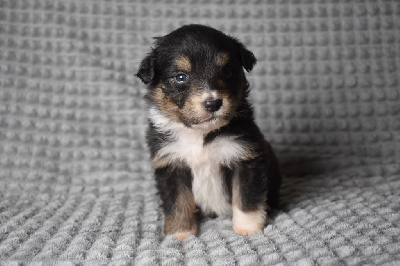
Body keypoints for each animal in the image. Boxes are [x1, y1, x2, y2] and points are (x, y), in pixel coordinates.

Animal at [138, 25, 282, 241]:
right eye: (181, 77)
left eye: (227, 71)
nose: (213, 103)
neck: (200, 134)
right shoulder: (171, 165)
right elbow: (177, 204)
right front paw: (180, 234)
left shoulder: (246, 159)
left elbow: (246, 199)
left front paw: (248, 229)